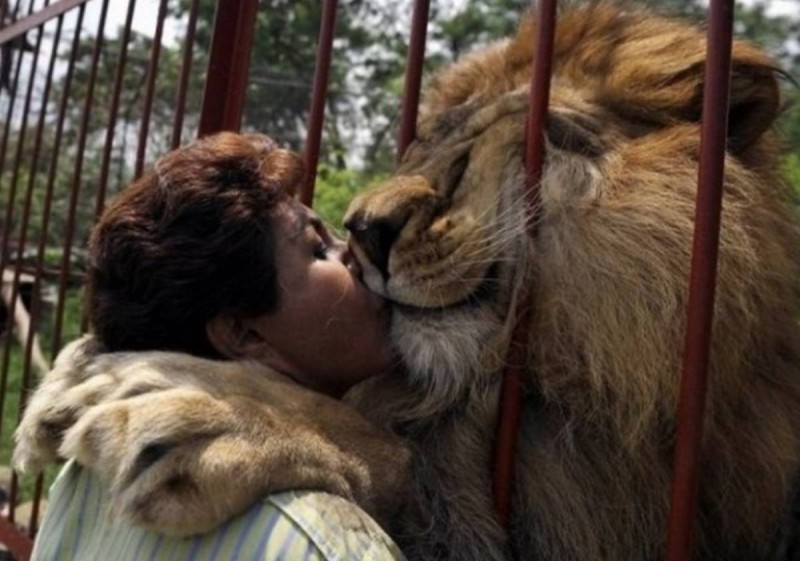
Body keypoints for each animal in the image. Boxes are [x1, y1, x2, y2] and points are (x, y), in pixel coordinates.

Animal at [14, 4, 800, 560]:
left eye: (502, 142)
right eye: (428, 143)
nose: (363, 231)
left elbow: (387, 446)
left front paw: (206, 410)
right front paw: (74, 375)